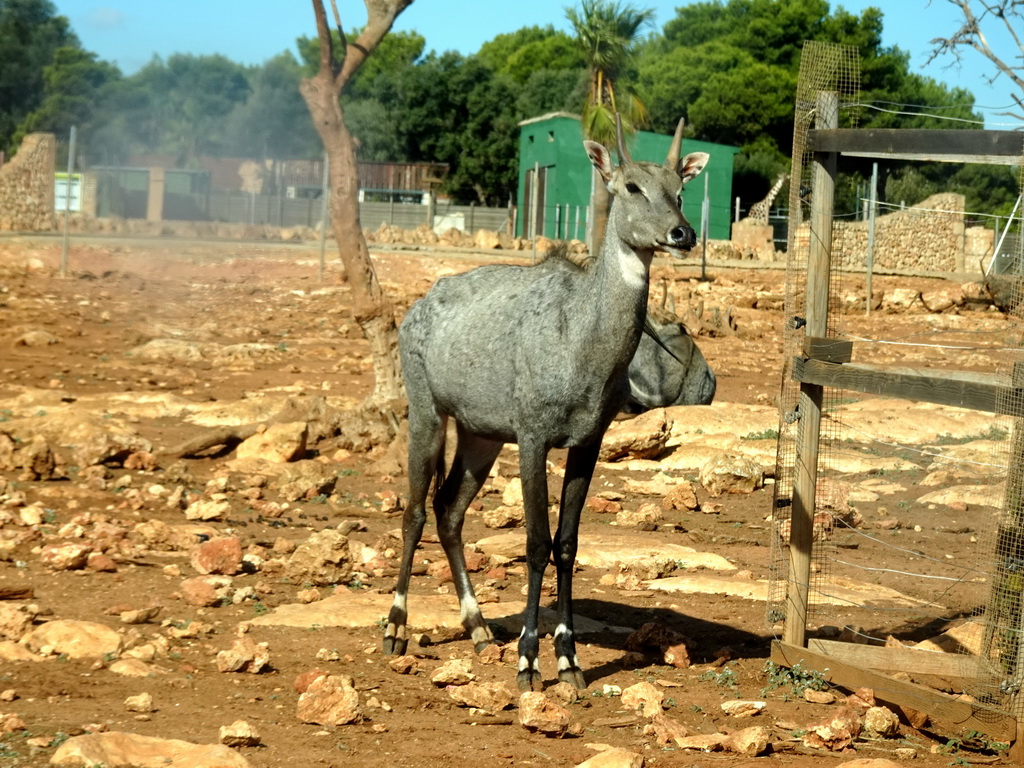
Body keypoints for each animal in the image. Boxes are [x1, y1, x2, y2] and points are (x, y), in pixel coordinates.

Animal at [380, 118, 708, 692]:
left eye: (680, 190)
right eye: (631, 187)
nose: (681, 234)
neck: (579, 334)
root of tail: (419, 305)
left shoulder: (587, 443)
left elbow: (567, 544)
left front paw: (569, 659)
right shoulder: (533, 438)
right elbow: (535, 543)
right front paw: (530, 661)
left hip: (481, 436)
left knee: (448, 511)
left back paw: (479, 628)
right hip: (428, 414)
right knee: (416, 512)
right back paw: (396, 628)